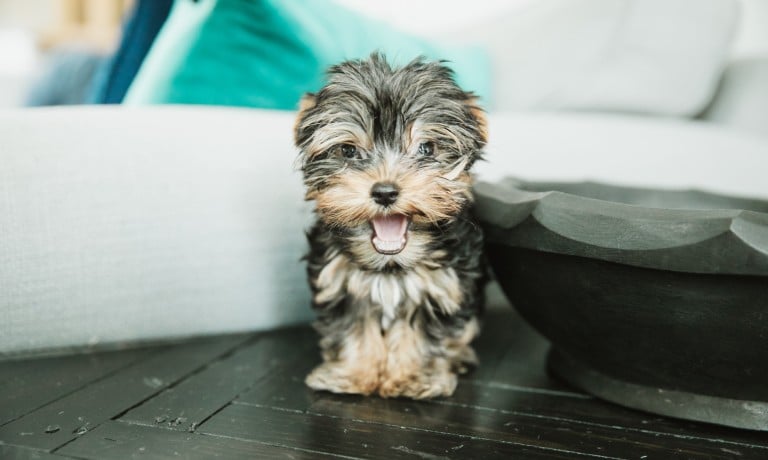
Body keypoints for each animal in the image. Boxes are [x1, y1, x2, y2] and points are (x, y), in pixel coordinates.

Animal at [294, 54, 486, 398]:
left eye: (426, 148)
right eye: (348, 150)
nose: (384, 192)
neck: (390, 265)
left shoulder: (440, 287)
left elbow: (421, 333)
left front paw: (412, 377)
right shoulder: (342, 283)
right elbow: (353, 328)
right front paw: (354, 375)